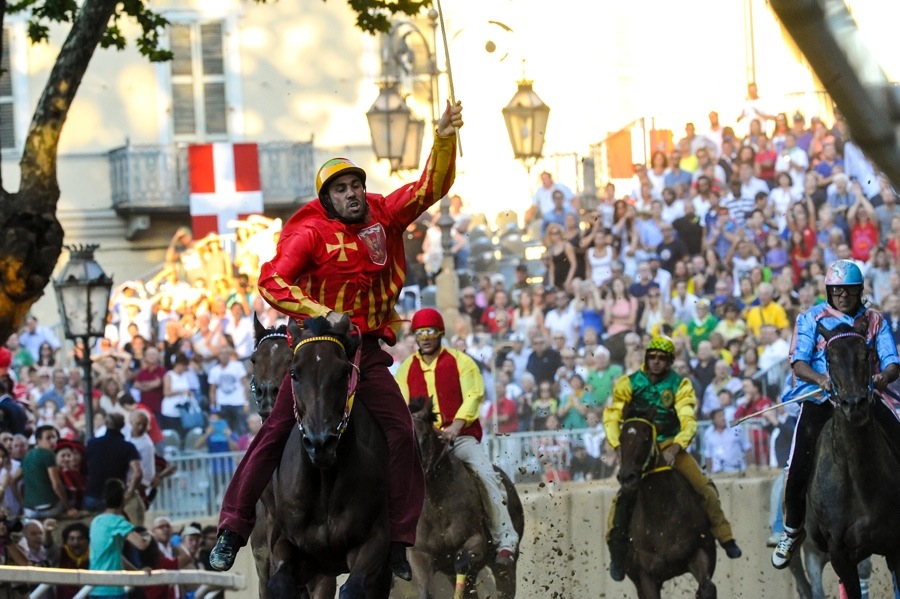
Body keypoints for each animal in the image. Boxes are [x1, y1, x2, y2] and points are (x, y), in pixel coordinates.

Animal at [258, 316, 388, 596]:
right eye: (295, 373)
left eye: (344, 371)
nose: (320, 443)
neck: (324, 480)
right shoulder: (285, 544)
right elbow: (279, 581)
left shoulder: (374, 540)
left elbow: (354, 587)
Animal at [406, 398, 524, 599]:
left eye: (425, 437)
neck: (437, 504)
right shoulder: (420, 554)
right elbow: (426, 590)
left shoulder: (476, 542)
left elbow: (462, 562)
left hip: (504, 566)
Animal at [616, 406, 712, 596]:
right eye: (621, 438)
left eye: (645, 438)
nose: (626, 477)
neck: (661, 511)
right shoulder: (646, 574)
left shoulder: (697, 552)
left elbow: (707, 588)